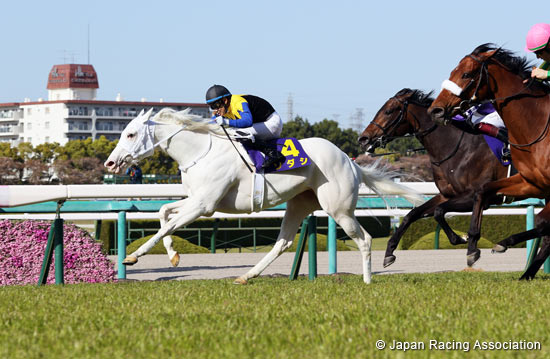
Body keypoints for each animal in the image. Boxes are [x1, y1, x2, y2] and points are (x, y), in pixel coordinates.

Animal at [103, 108, 422, 286]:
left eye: (130, 134)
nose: (110, 163)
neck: (200, 151)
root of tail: (349, 160)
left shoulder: (204, 204)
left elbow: (168, 224)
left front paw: (132, 257)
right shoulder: (198, 201)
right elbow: (164, 213)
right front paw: (173, 256)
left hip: (339, 209)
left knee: (364, 239)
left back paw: (367, 281)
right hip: (299, 203)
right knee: (283, 242)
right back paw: (246, 276)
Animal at [360, 88, 512, 268]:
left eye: (389, 111)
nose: (363, 138)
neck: (456, 147)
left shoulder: (476, 195)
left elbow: (439, 212)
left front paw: (463, 240)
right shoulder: (446, 195)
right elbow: (412, 214)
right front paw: (389, 252)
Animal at [432, 43, 550, 280]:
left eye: (466, 74)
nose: (436, 109)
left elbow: (544, 222)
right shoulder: (531, 182)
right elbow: (482, 191)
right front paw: (472, 247)